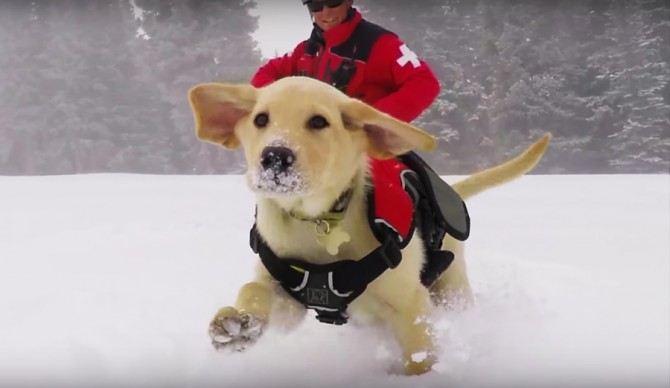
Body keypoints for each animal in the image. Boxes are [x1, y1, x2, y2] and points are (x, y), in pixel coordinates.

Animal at [188, 76, 552, 376]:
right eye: (261, 119)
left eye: (319, 121)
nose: (275, 157)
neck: (318, 221)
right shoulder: (286, 291)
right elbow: (254, 289)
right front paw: (236, 323)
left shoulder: (410, 301)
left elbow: (420, 356)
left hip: (452, 288)